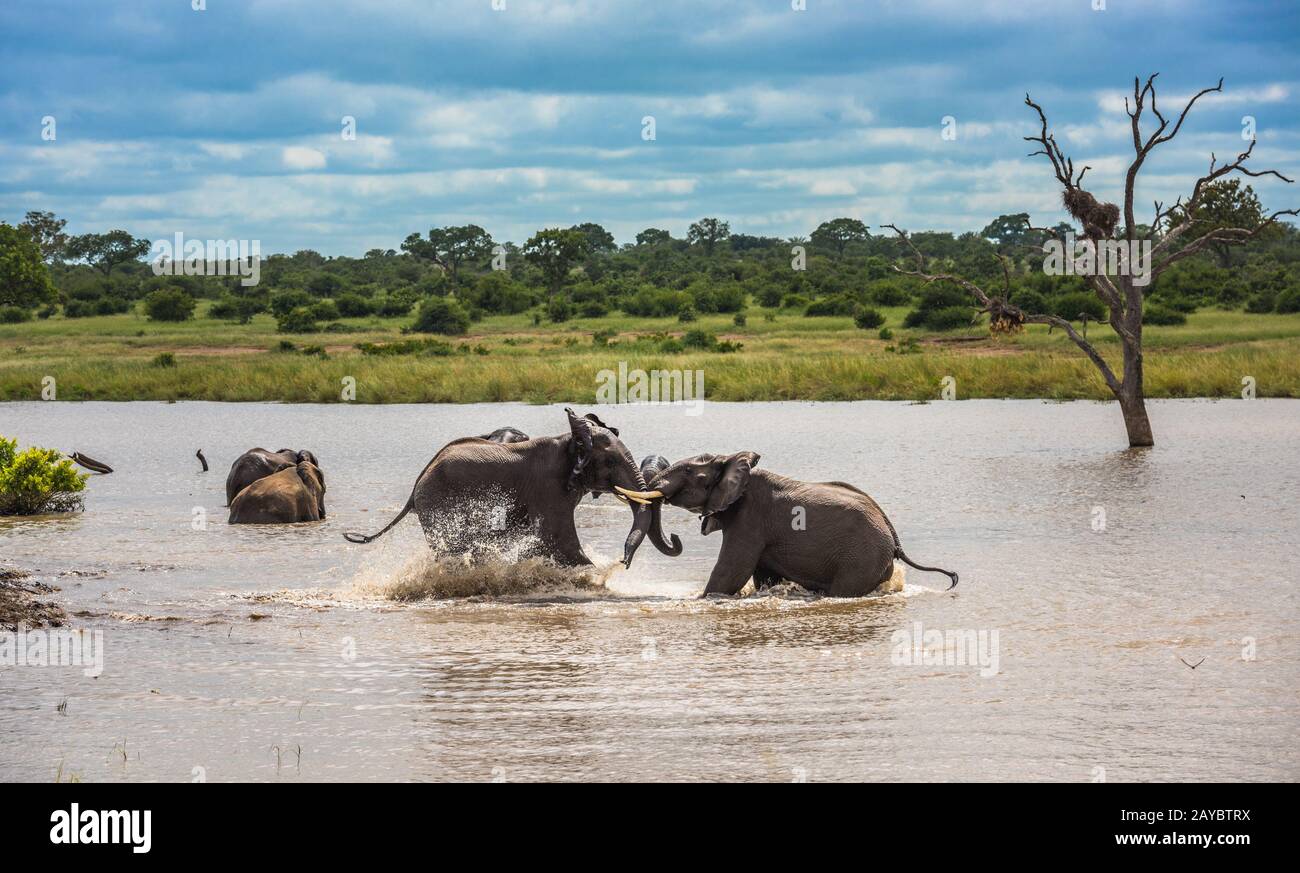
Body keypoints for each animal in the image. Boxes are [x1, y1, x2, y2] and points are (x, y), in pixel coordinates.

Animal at [340, 407, 686, 569]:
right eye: (610, 461)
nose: (622, 561)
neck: (569, 440)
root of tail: (414, 488)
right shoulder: (549, 489)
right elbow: (559, 540)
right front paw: (597, 574)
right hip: (437, 503)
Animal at [618, 454, 956, 597]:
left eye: (690, 473)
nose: (677, 537)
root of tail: (894, 536)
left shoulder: (750, 517)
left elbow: (730, 573)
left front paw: (701, 599)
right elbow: (762, 576)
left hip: (862, 557)